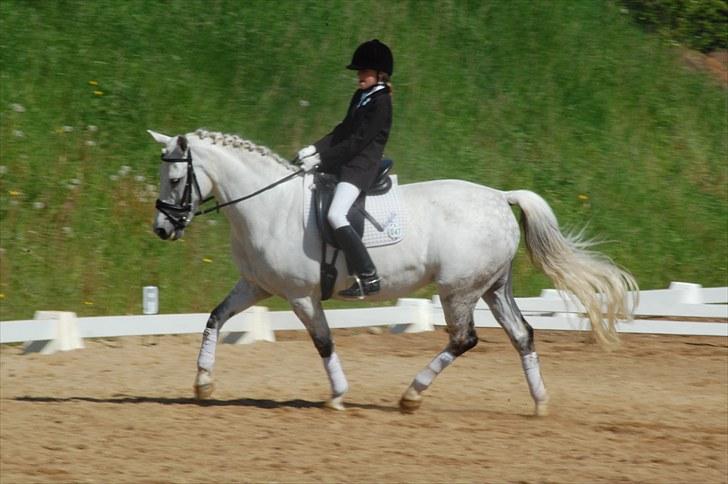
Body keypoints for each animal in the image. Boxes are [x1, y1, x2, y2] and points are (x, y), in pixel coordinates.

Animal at [148, 128, 638, 416]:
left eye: (174, 180)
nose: (161, 229)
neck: (269, 205)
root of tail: (501, 197)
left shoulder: (301, 294)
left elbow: (323, 342)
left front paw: (339, 395)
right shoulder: (255, 285)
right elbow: (214, 318)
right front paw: (203, 384)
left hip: (458, 290)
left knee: (463, 340)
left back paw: (412, 394)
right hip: (493, 287)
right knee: (522, 336)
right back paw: (539, 403)